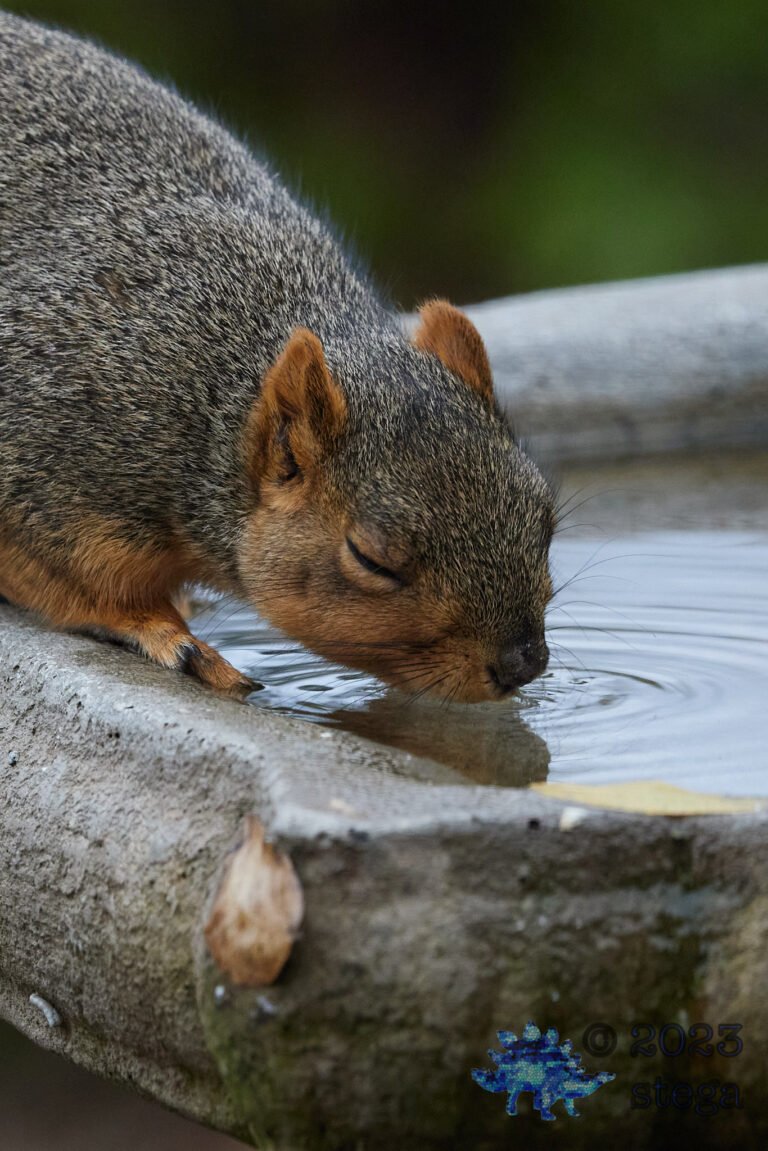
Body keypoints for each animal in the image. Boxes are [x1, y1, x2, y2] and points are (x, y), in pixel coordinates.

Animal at [0, 12, 555, 704]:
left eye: (546, 515)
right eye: (372, 559)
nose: (522, 664)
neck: (212, 400)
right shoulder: (42, 467)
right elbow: (80, 588)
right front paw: (173, 637)